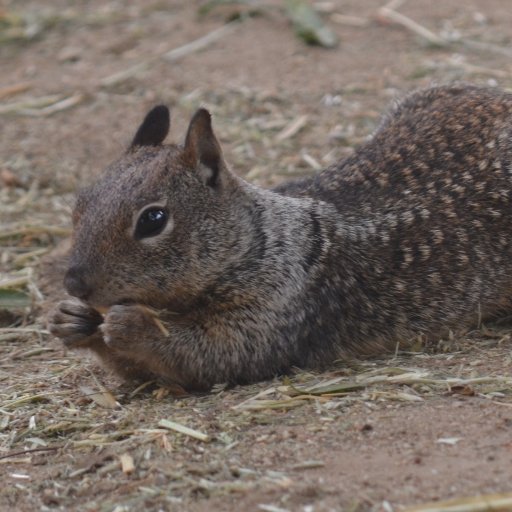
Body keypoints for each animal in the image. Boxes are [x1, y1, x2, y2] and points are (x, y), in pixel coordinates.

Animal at [46, 84, 510, 390]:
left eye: (153, 220)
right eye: (79, 203)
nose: (74, 283)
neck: (259, 240)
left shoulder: (273, 310)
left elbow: (210, 355)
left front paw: (131, 324)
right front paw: (72, 320)